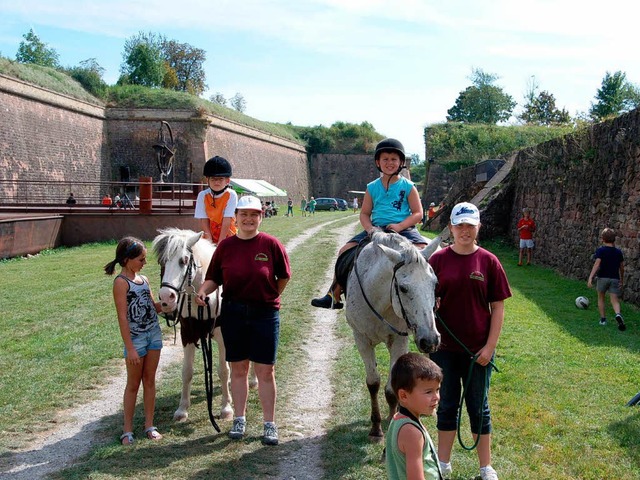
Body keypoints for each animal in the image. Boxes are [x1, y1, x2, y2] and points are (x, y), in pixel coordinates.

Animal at [152, 227, 255, 422]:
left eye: (184, 260)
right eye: (162, 261)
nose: (166, 298)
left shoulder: (223, 336)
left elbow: (223, 370)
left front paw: (226, 408)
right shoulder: (188, 334)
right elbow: (187, 371)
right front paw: (182, 409)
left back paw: (252, 381)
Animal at [344, 231, 440, 440]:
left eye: (434, 283)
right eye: (403, 288)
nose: (430, 340)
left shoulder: (399, 340)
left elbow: (391, 389)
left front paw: (393, 416)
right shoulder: (361, 339)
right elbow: (373, 383)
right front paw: (376, 427)